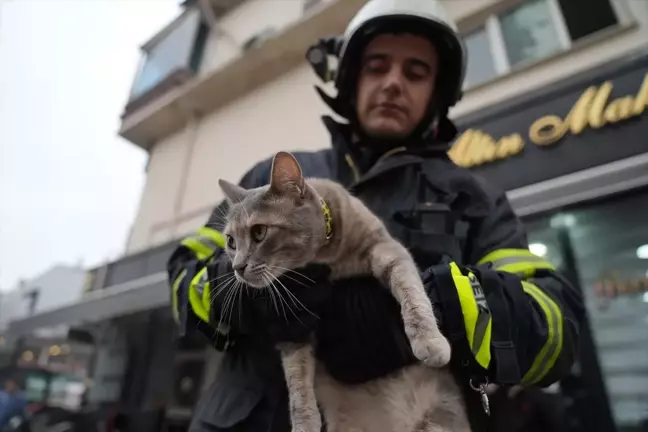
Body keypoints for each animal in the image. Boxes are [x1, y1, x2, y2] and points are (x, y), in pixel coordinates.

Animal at [220, 152, 468, 432]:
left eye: (259, 231)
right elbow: (297, 377)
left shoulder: (386, 248)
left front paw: (429, 340)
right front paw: (304, 422)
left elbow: (412, 293)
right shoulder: (294, 324)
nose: (237, 267)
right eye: (231, 241)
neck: (325, 259)